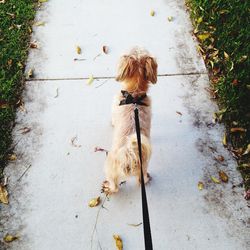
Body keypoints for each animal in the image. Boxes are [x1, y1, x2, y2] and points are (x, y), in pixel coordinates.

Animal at [102, 47, 157, 194]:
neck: (134, 93)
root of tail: (129, 158)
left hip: (110, 168)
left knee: (115, 187)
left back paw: (108, 187)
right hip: (143, 169)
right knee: (141, 180)